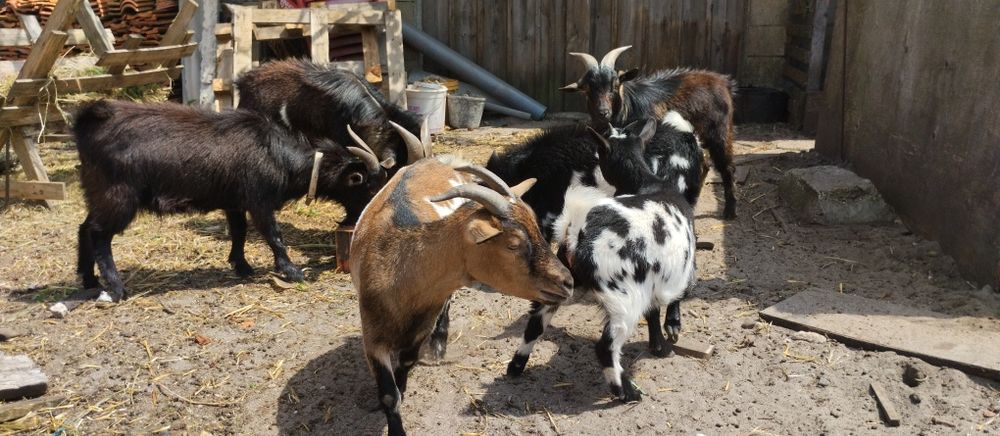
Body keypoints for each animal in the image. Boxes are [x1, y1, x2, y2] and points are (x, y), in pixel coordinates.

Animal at [73, 99, 389, 302]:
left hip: (97, 193)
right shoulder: (259, 200)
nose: (362, 220)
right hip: (119, 197)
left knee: (84, 227)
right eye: (369, 187)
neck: (278, 155)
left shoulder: (234, 201)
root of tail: (86, 125)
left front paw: (242, 266)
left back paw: (89, 279)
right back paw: (116, 288)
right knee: (99, 234)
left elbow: (238, 232)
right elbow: (273, 235)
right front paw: (291, 271)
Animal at [350, 157, 573, 436]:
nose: (567, 281)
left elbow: (406, 363)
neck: (398, 270)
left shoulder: (422, 326)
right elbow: (389, 396)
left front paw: (404, 386)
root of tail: (437, 159)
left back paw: (438, 346)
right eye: (512, 244)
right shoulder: (372, 336)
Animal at [506, 120, 697, 403]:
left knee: (534, 324)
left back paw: (516, 367)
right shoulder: (676, 273)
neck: (647, 183)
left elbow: (652, 313)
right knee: (605, 347)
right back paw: (626, 392)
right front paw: (666, 340)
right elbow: (670, 300)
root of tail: (579, 234)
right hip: (623, 300)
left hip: (561, 281)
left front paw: (658, 346)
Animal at [561, 46, 738, 219]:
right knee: (706, 165)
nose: (603, 111)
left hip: (720, 134)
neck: (628, 106)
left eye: (615, 85)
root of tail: (724, 82)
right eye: (587, 88)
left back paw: (729, 211)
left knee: (726, 167)